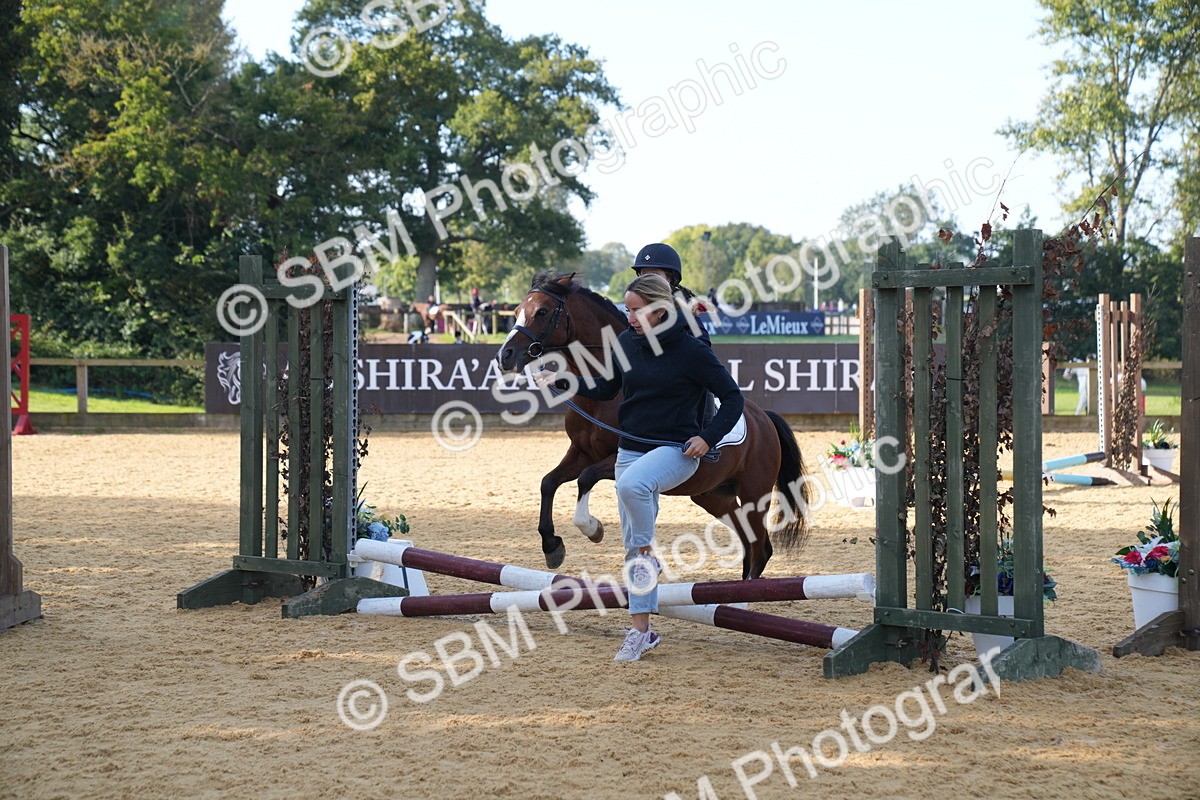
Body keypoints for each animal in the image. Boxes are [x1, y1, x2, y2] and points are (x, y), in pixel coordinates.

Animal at [495, 271, 812, 579]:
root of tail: (765, 419)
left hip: (753, 493)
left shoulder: (615, 459)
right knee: (752, 544)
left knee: (760, 548)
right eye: (517, 311)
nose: (504, 356)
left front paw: (592, 528)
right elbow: (548, 482)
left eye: (543, 311)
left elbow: (585, 478)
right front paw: (552, 546)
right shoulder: (581, 452)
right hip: (713, 496)